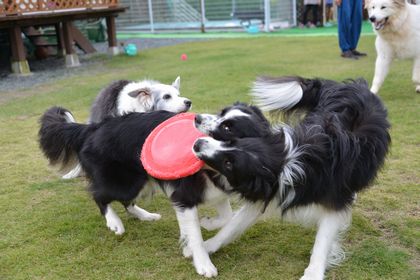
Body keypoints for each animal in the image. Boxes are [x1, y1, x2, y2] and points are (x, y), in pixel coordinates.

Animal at [37, 101, 270, 276]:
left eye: (228, 127)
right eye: (221, 113)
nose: (196, 118)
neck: (216, 167)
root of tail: (92, 128)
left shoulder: (217, 191)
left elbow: (226, 218)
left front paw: (206, 224)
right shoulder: (183, 197)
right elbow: (195, 234)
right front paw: (203, 263)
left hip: (141, 181)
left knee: (127, 203)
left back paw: (146, 216)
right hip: (125, 182)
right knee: (99, 196)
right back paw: (114, 222)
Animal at [194, 76, 390, 280]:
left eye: (229, 163)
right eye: (221, 113)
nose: (196, 119)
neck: (288, 163)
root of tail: (354, 86)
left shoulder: (333, 200)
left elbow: (323, 240)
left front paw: (313, 273)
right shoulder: (270, 192)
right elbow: (233, 226)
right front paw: (206, 247)